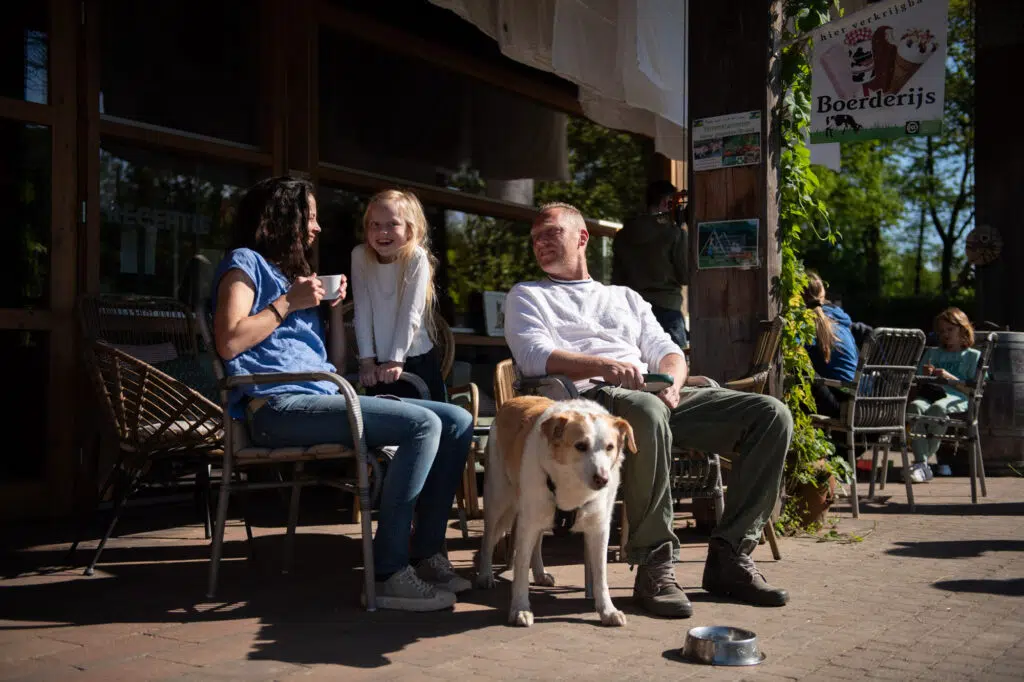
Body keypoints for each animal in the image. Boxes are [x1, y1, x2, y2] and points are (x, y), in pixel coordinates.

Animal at [475, 395, 634, 622]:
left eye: (610, 447)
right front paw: (520, 608)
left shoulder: (599, 528)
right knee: (488, 539)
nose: (603, 479)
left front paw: (607, 610)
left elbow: (601, 574)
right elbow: (520, 569)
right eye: (580, 446)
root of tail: (512, 400)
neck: (571, 485)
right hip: (497, 501)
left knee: (537, 542)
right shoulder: (527, 524)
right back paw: (485, 575)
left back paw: (540, 573)